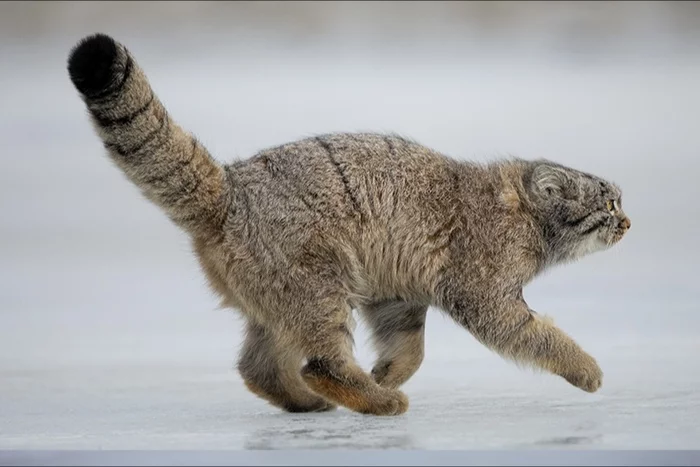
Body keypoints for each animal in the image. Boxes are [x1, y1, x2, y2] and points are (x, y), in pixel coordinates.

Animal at [68, 33, 632, 416]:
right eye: (609, 204)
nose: (629, 222)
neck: (523, 214)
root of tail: (229, 188)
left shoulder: (397, 294)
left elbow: (411, 350)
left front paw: (386, 374)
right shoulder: (483, 293)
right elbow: (540, 336)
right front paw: (586, 370)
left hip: (278, 298)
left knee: (258, 365)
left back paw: (312, 401)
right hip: (319, 284)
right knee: (319, 363)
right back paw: (374, 402)